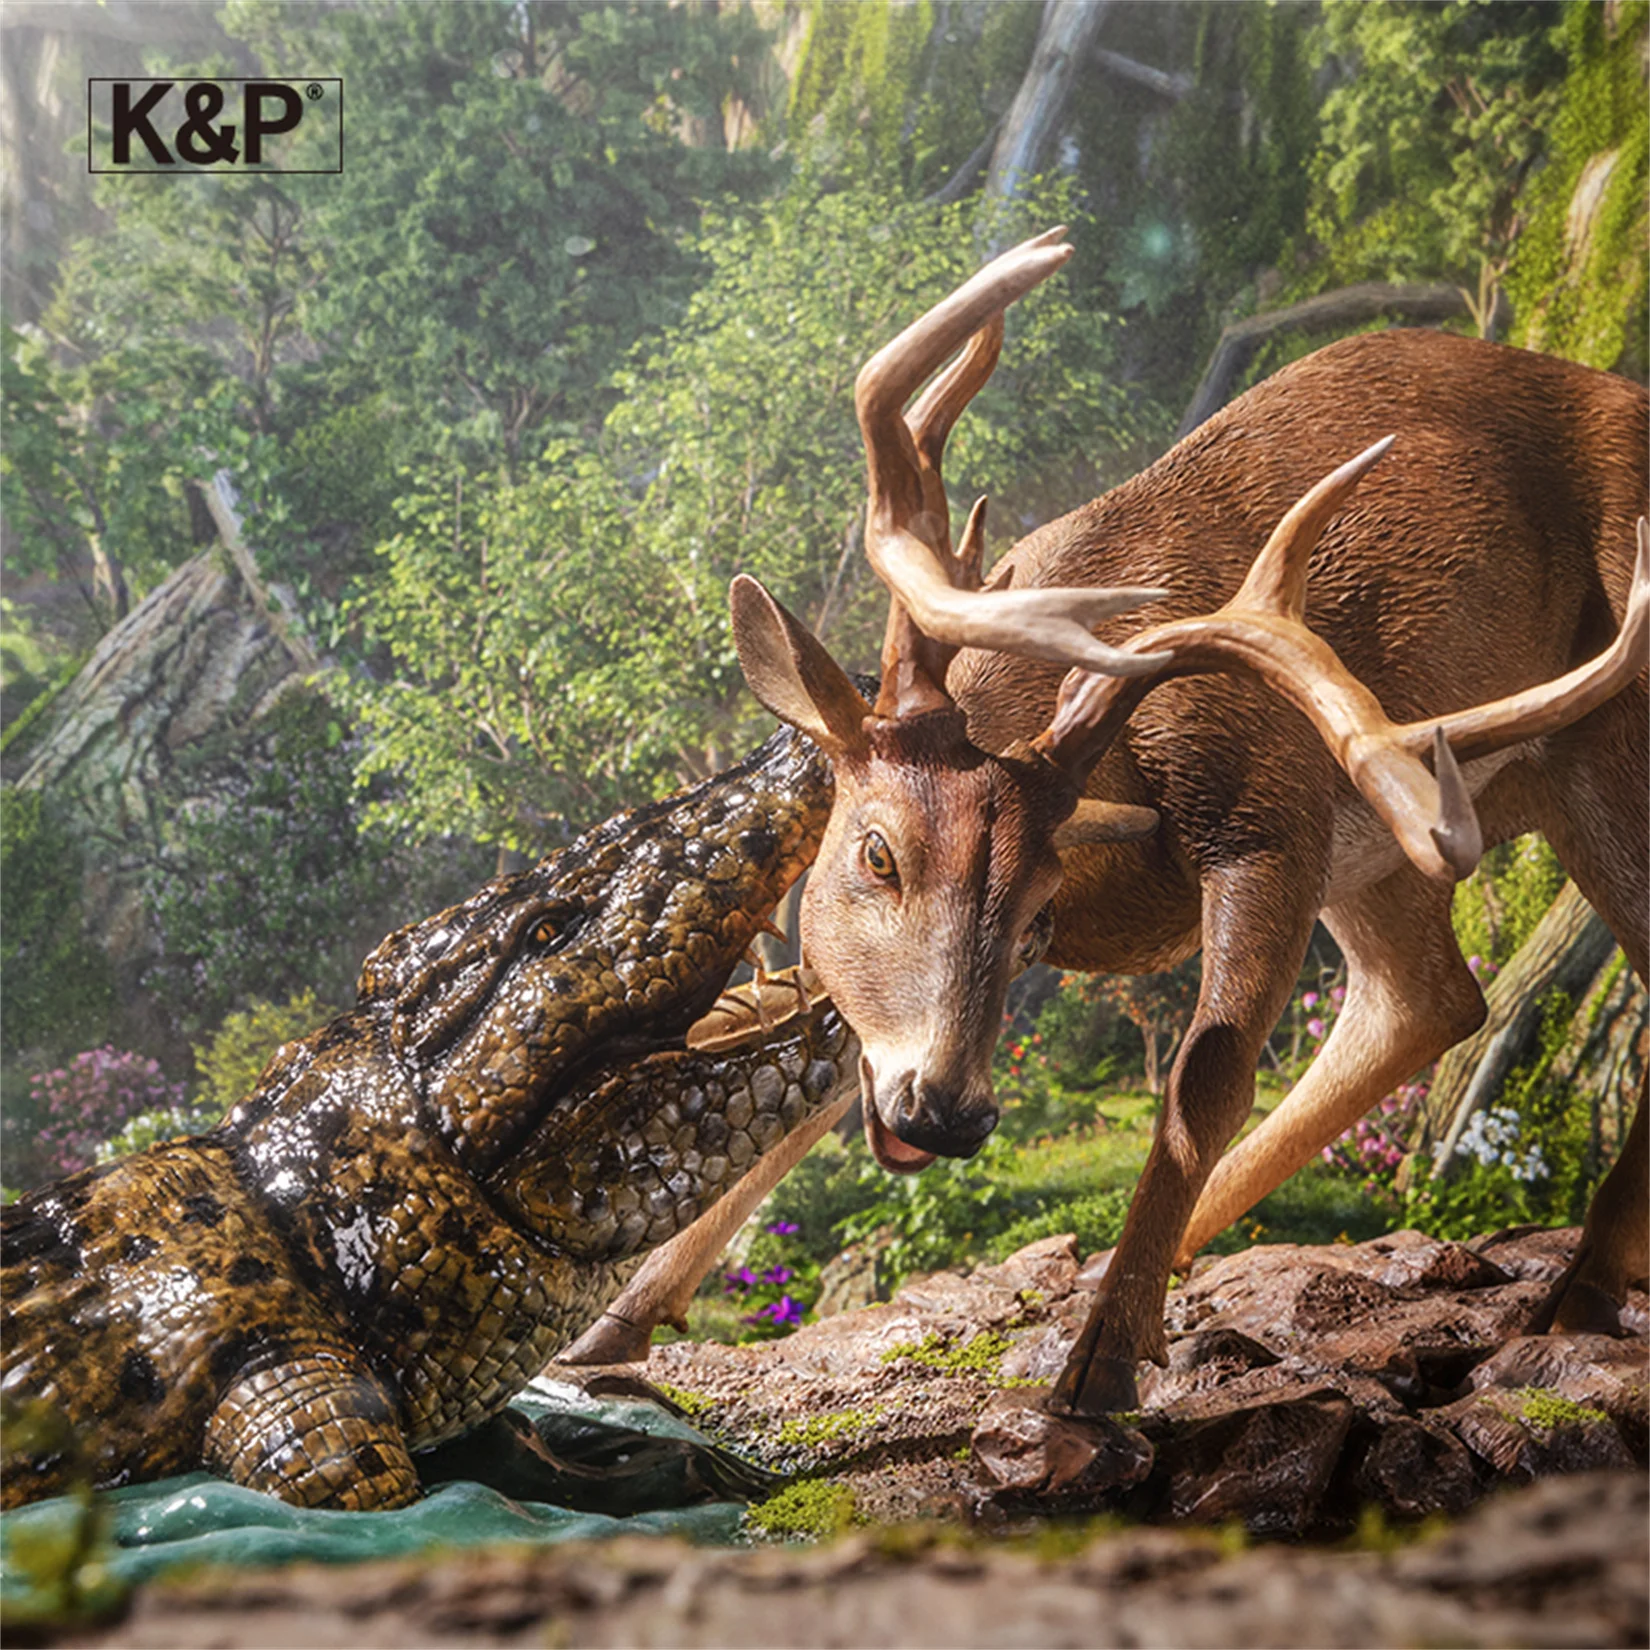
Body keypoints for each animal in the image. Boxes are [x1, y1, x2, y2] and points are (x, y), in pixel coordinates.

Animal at [564, 230, 1649, 1419]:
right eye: (877, 853)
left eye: (1040, 899)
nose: (946, 1113)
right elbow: (809, 1051)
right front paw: (606, 1329)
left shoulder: (1271, 821)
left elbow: (1202, 1082)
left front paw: (1102, 1366)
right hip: (1398, 842)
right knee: (1431, 996)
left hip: (1599, 753)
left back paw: (1577, 1294)